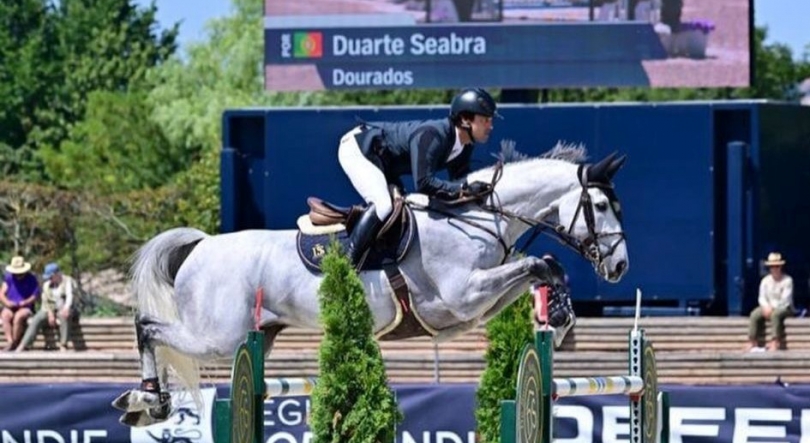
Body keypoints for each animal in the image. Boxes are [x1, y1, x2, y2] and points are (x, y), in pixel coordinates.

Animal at [110, 146, 628, 426]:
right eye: (601, 206)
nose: (621, 265)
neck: (478, 218)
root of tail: (200, 245)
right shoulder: (461, 298)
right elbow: (540, 263)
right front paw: (558, 316)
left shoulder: (475, 306)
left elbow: (541, 266)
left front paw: (559, 316)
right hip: (216, 336)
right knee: (147, 327)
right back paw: (147, 399)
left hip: (252, 335)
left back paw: (147, 401)